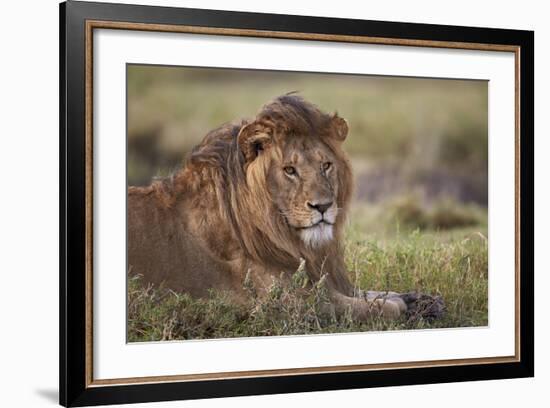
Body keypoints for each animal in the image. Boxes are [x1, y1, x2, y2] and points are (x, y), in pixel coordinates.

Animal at [128, 95, 444, 322]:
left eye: (326, 165)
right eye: (289, 170)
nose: (323, 206)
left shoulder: (324, 280)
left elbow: (377, 292)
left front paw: (424, 300)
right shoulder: (285, 303)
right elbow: (382, 306)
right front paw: (405, 306)